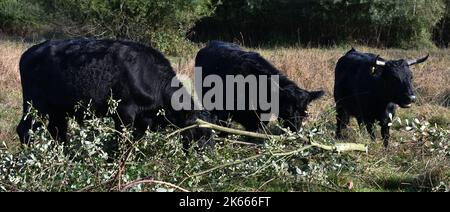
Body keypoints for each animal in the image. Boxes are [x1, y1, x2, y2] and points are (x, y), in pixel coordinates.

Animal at [16, 39, 214, 150]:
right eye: (199, 134)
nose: (208, 155)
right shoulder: (124, 113)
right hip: (35, 105)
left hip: (58, 109)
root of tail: (31, 51)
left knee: (58, 132)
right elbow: (122, 143)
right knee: (25, 130)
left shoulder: (143, 122)